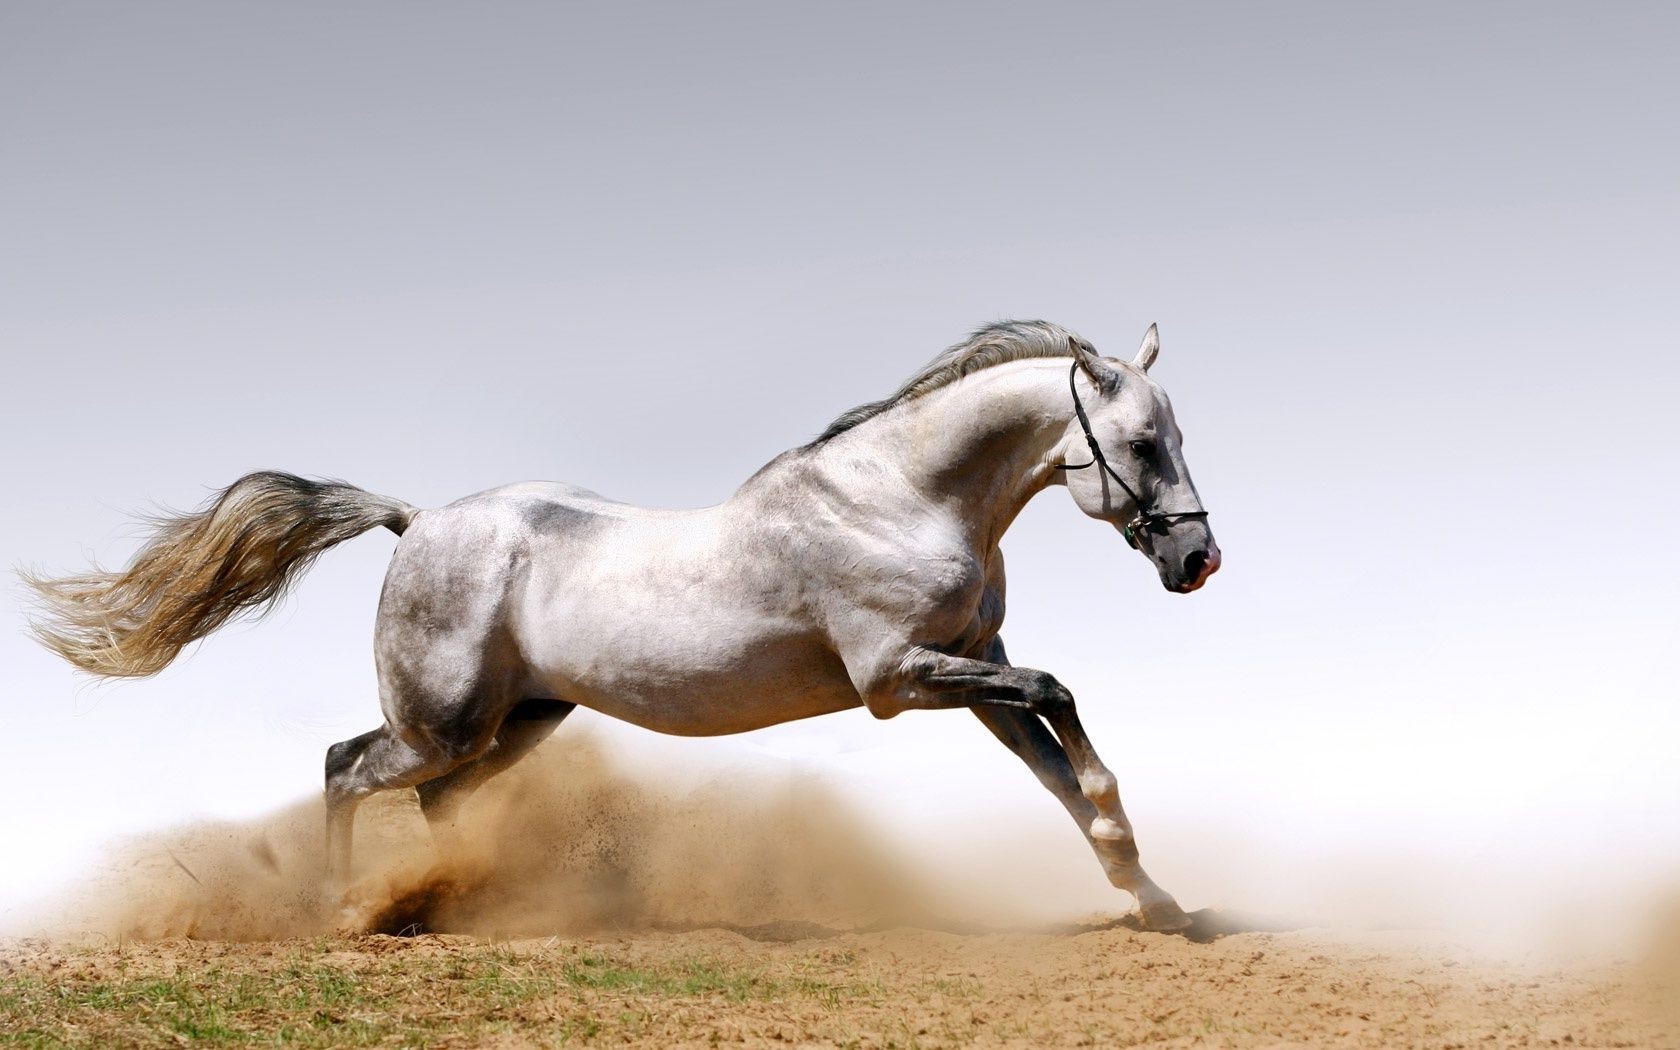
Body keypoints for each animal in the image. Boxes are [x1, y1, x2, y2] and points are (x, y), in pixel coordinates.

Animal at [29, 317, 1223, 927]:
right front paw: (1139, 866)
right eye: (1141, 443)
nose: (1198, 560)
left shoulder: (974, 663)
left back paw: (465, 904)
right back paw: (342, 911)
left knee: (434, 803)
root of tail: (417, 522)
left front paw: (1153, 896)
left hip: (523, 720)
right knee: (343, 767)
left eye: (1174, 435)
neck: (902, 497)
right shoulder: (898, 679)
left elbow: (1057, 764)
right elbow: (1063, 702)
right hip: (441, 723)